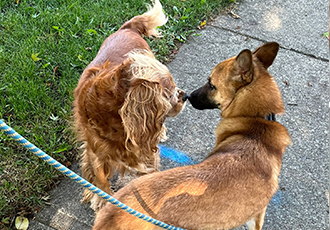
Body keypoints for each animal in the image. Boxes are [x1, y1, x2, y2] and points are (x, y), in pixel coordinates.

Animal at [72, 0, 186, 211]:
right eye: (168, 92)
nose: (185, 96)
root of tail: (127, 28)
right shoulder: (95, 150)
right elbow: (100, 178)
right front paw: (103, 199)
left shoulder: (144, 150)